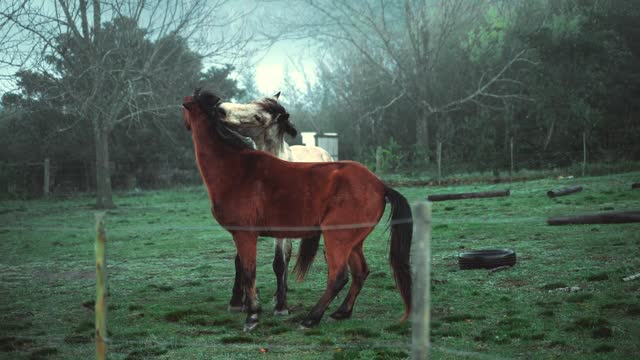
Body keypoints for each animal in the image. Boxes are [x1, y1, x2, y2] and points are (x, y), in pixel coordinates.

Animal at [182, 88, 412, 330]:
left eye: (258, 116)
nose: (222, 110)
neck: (238, 168)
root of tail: (379, 185)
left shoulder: (246, 235)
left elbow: (251, 271)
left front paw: (254, 315)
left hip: (337, 239)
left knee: (339, 277)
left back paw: (311, 318)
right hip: (354, 243)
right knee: (360, 272)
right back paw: (341, 312)